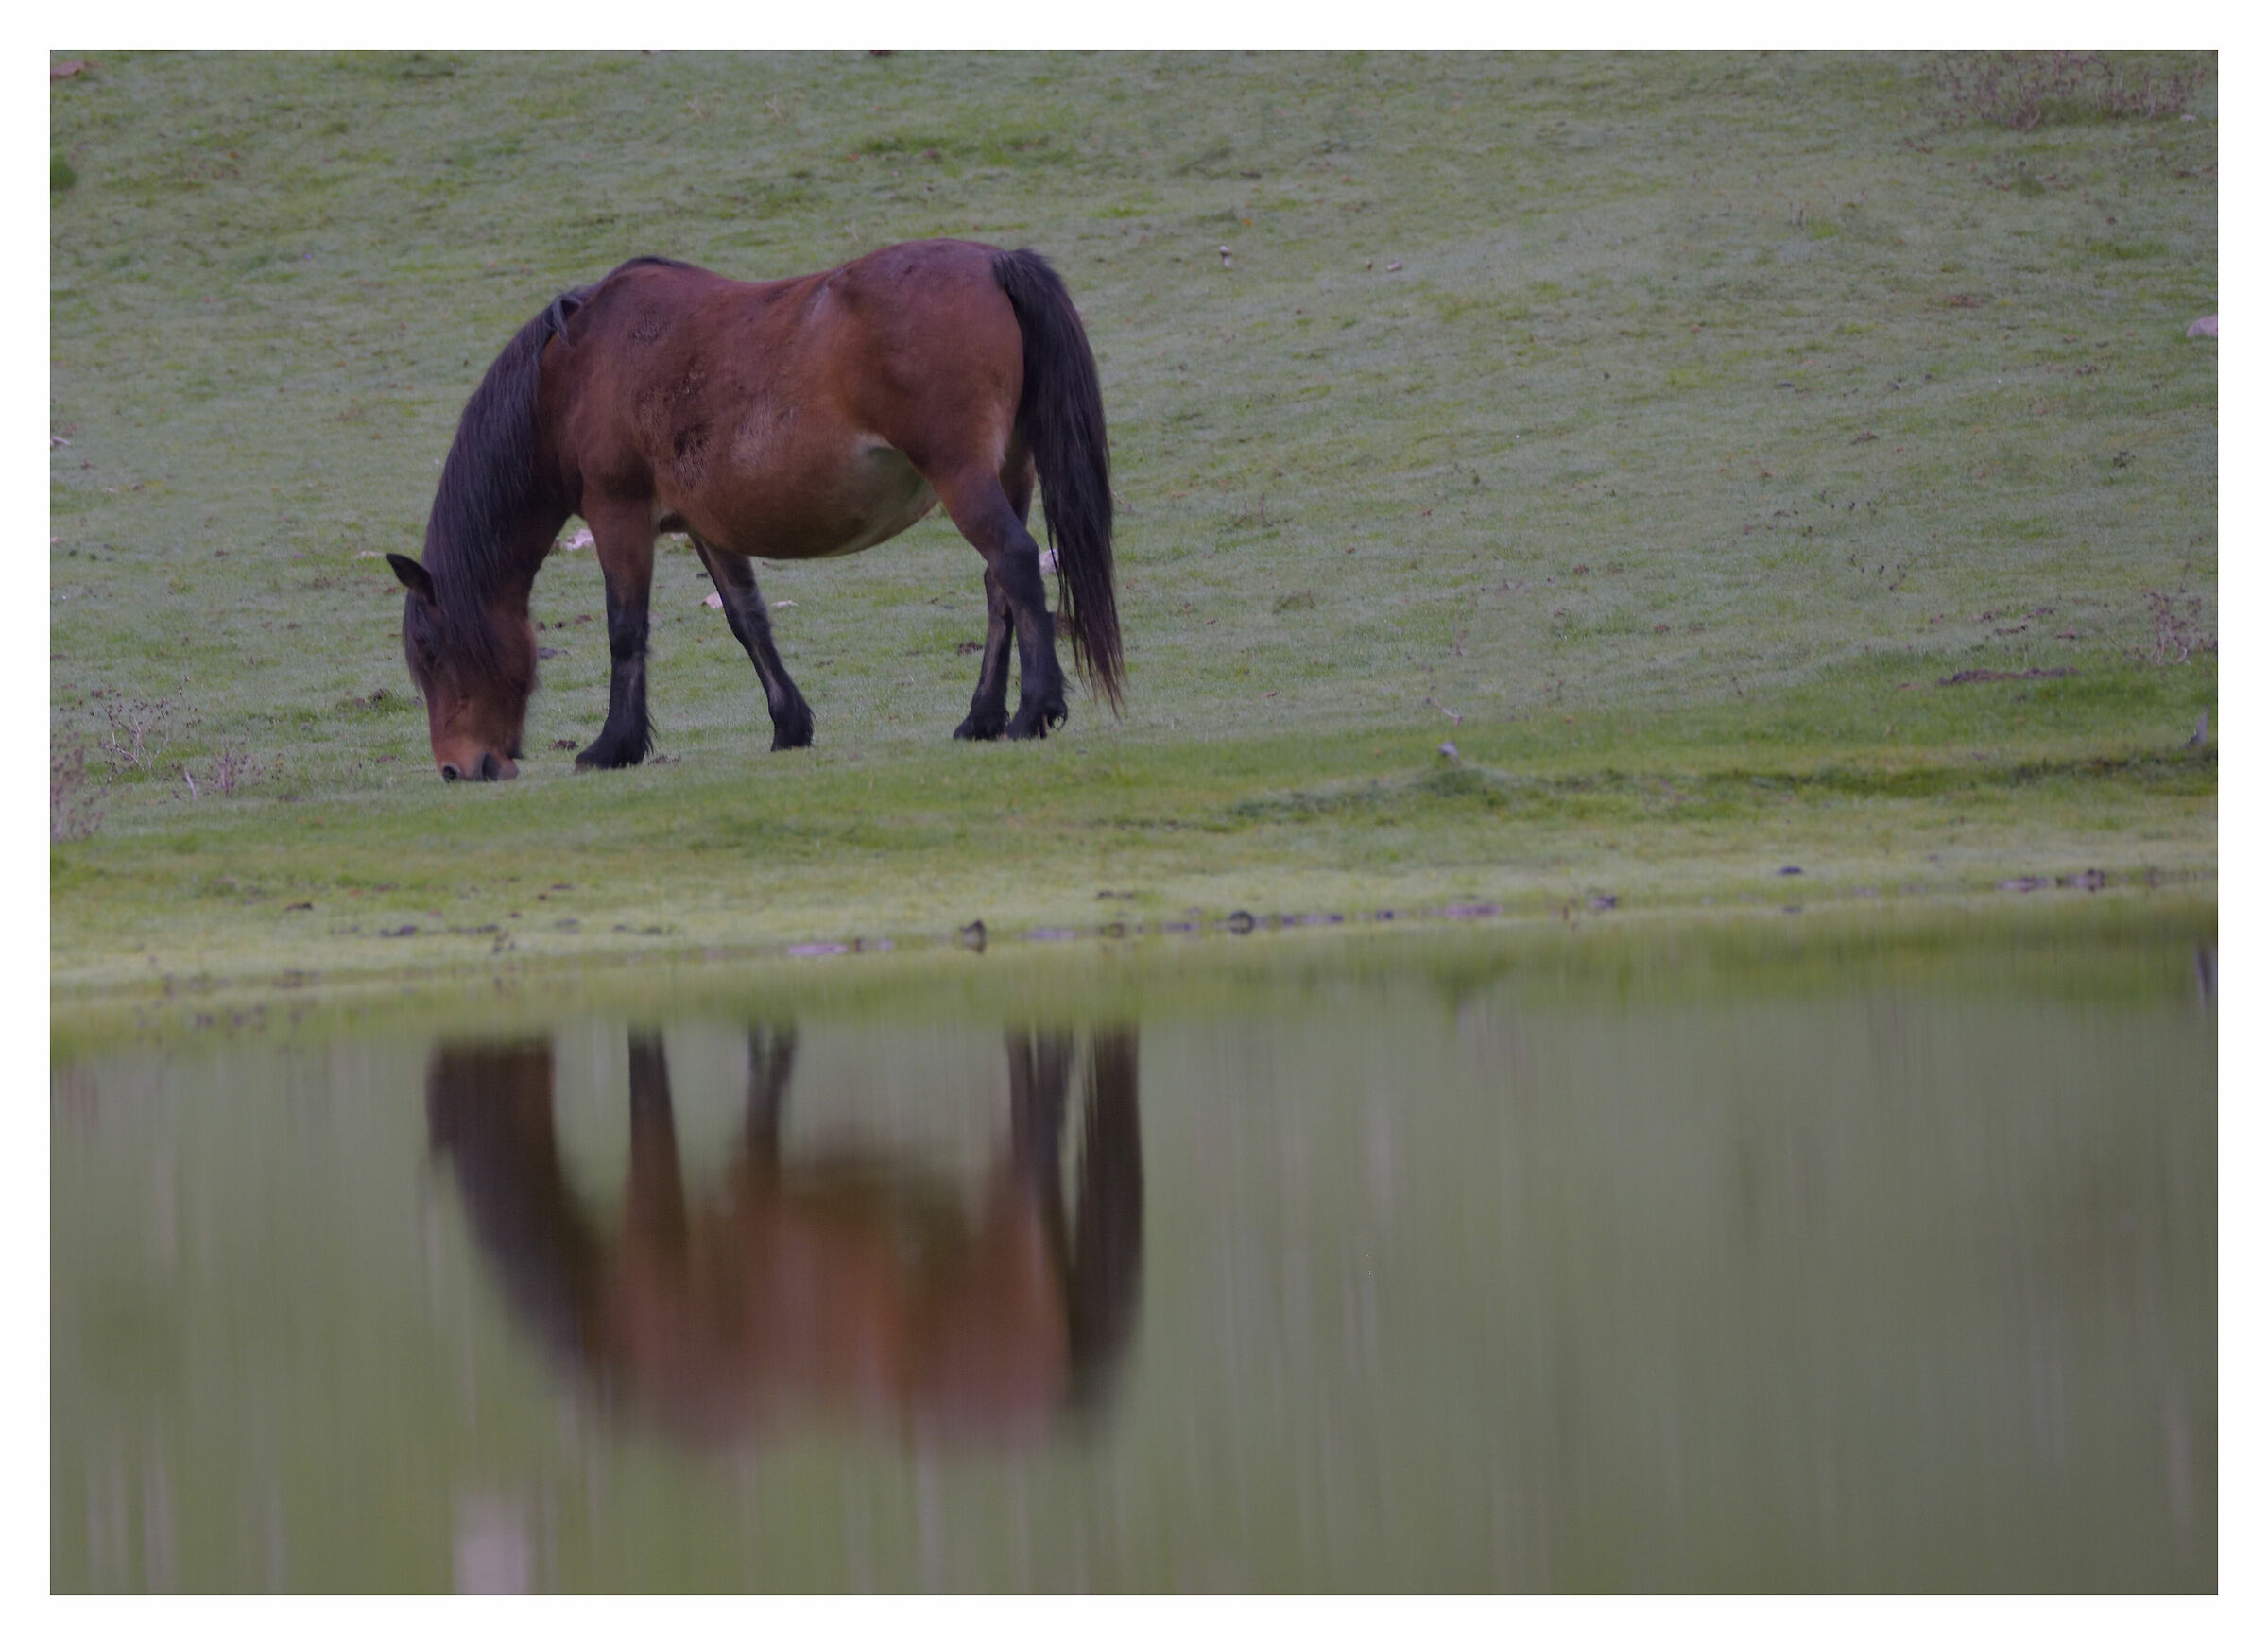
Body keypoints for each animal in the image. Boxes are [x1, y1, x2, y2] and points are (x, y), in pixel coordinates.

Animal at [384, 240, 1122, 781]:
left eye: (430, 650)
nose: (458, 768)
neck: (572, 370)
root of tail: (993, 262)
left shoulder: (617, 512)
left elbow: (626, 629)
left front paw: (613, 744)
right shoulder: (708, 527)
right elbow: (748, 621)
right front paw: (789, 726)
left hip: (963, 476)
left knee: (1016, 564)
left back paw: (1033, 711)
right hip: (1008, 472)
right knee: (1000, 586)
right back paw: (981, 719)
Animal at [425, 1026, 1144, 1452]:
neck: (610, 1325)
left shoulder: (665, 1205)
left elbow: (657, 1070)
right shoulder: (754, 1177)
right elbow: (768, 1068)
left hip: (1009, 1231)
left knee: (1037, 1122)